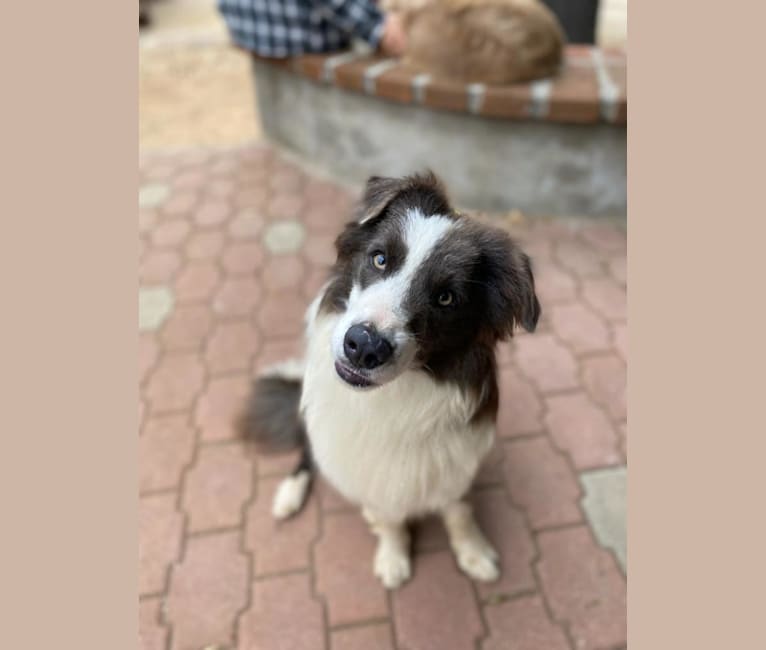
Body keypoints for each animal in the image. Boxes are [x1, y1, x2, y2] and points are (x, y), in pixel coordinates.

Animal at [243, 172, 544, 588]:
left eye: (446, 298)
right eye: (380, 259)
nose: (363, 347)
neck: (393, 399)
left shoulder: (455, 464)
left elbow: (458, 511)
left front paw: (473, 551)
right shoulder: (366, 473)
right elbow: (387, 519)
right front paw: (393, 556)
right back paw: (289, 493)